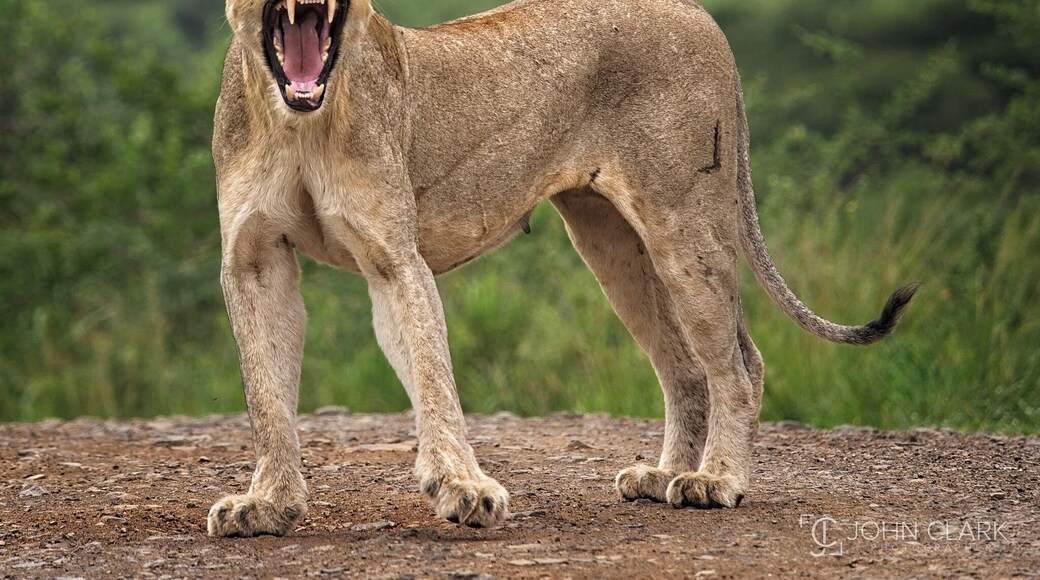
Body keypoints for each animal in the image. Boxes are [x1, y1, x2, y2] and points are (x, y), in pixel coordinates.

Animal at [207, 0, 917, 537]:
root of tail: (694, 9)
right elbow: (266, 392)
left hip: (685, 222)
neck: (298, 120)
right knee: (686, 366)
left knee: (738, 362)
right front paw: (266, 505)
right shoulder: (255, 261)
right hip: (612, 245)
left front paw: (464, 488)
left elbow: (433, 378)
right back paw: (662, 476)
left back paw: (715, 480)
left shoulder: (395, 259)